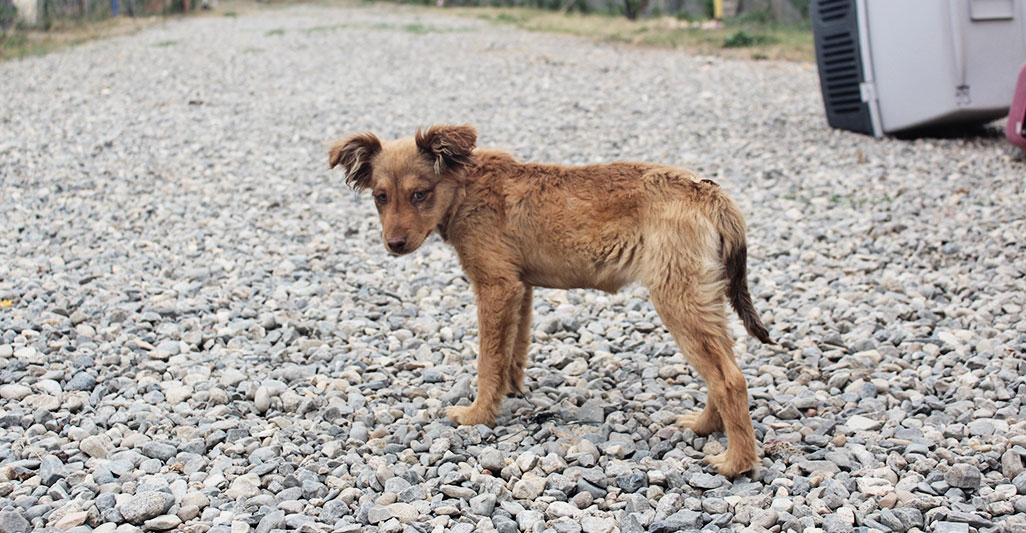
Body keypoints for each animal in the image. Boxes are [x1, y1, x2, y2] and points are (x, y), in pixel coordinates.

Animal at [332, 126, 771, 480]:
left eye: (420, 194)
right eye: (380, 197)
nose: (394, 244)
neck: (465, 186)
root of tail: (710, 193)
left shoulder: (496, 286)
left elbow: (487, 360)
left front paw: (478, 415)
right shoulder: (520, 288)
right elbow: (513, 350)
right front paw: (509, 392)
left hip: (676, 297)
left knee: (729, 379)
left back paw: (736, 463)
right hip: (703, 297)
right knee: (726, 369)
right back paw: (705, 426)